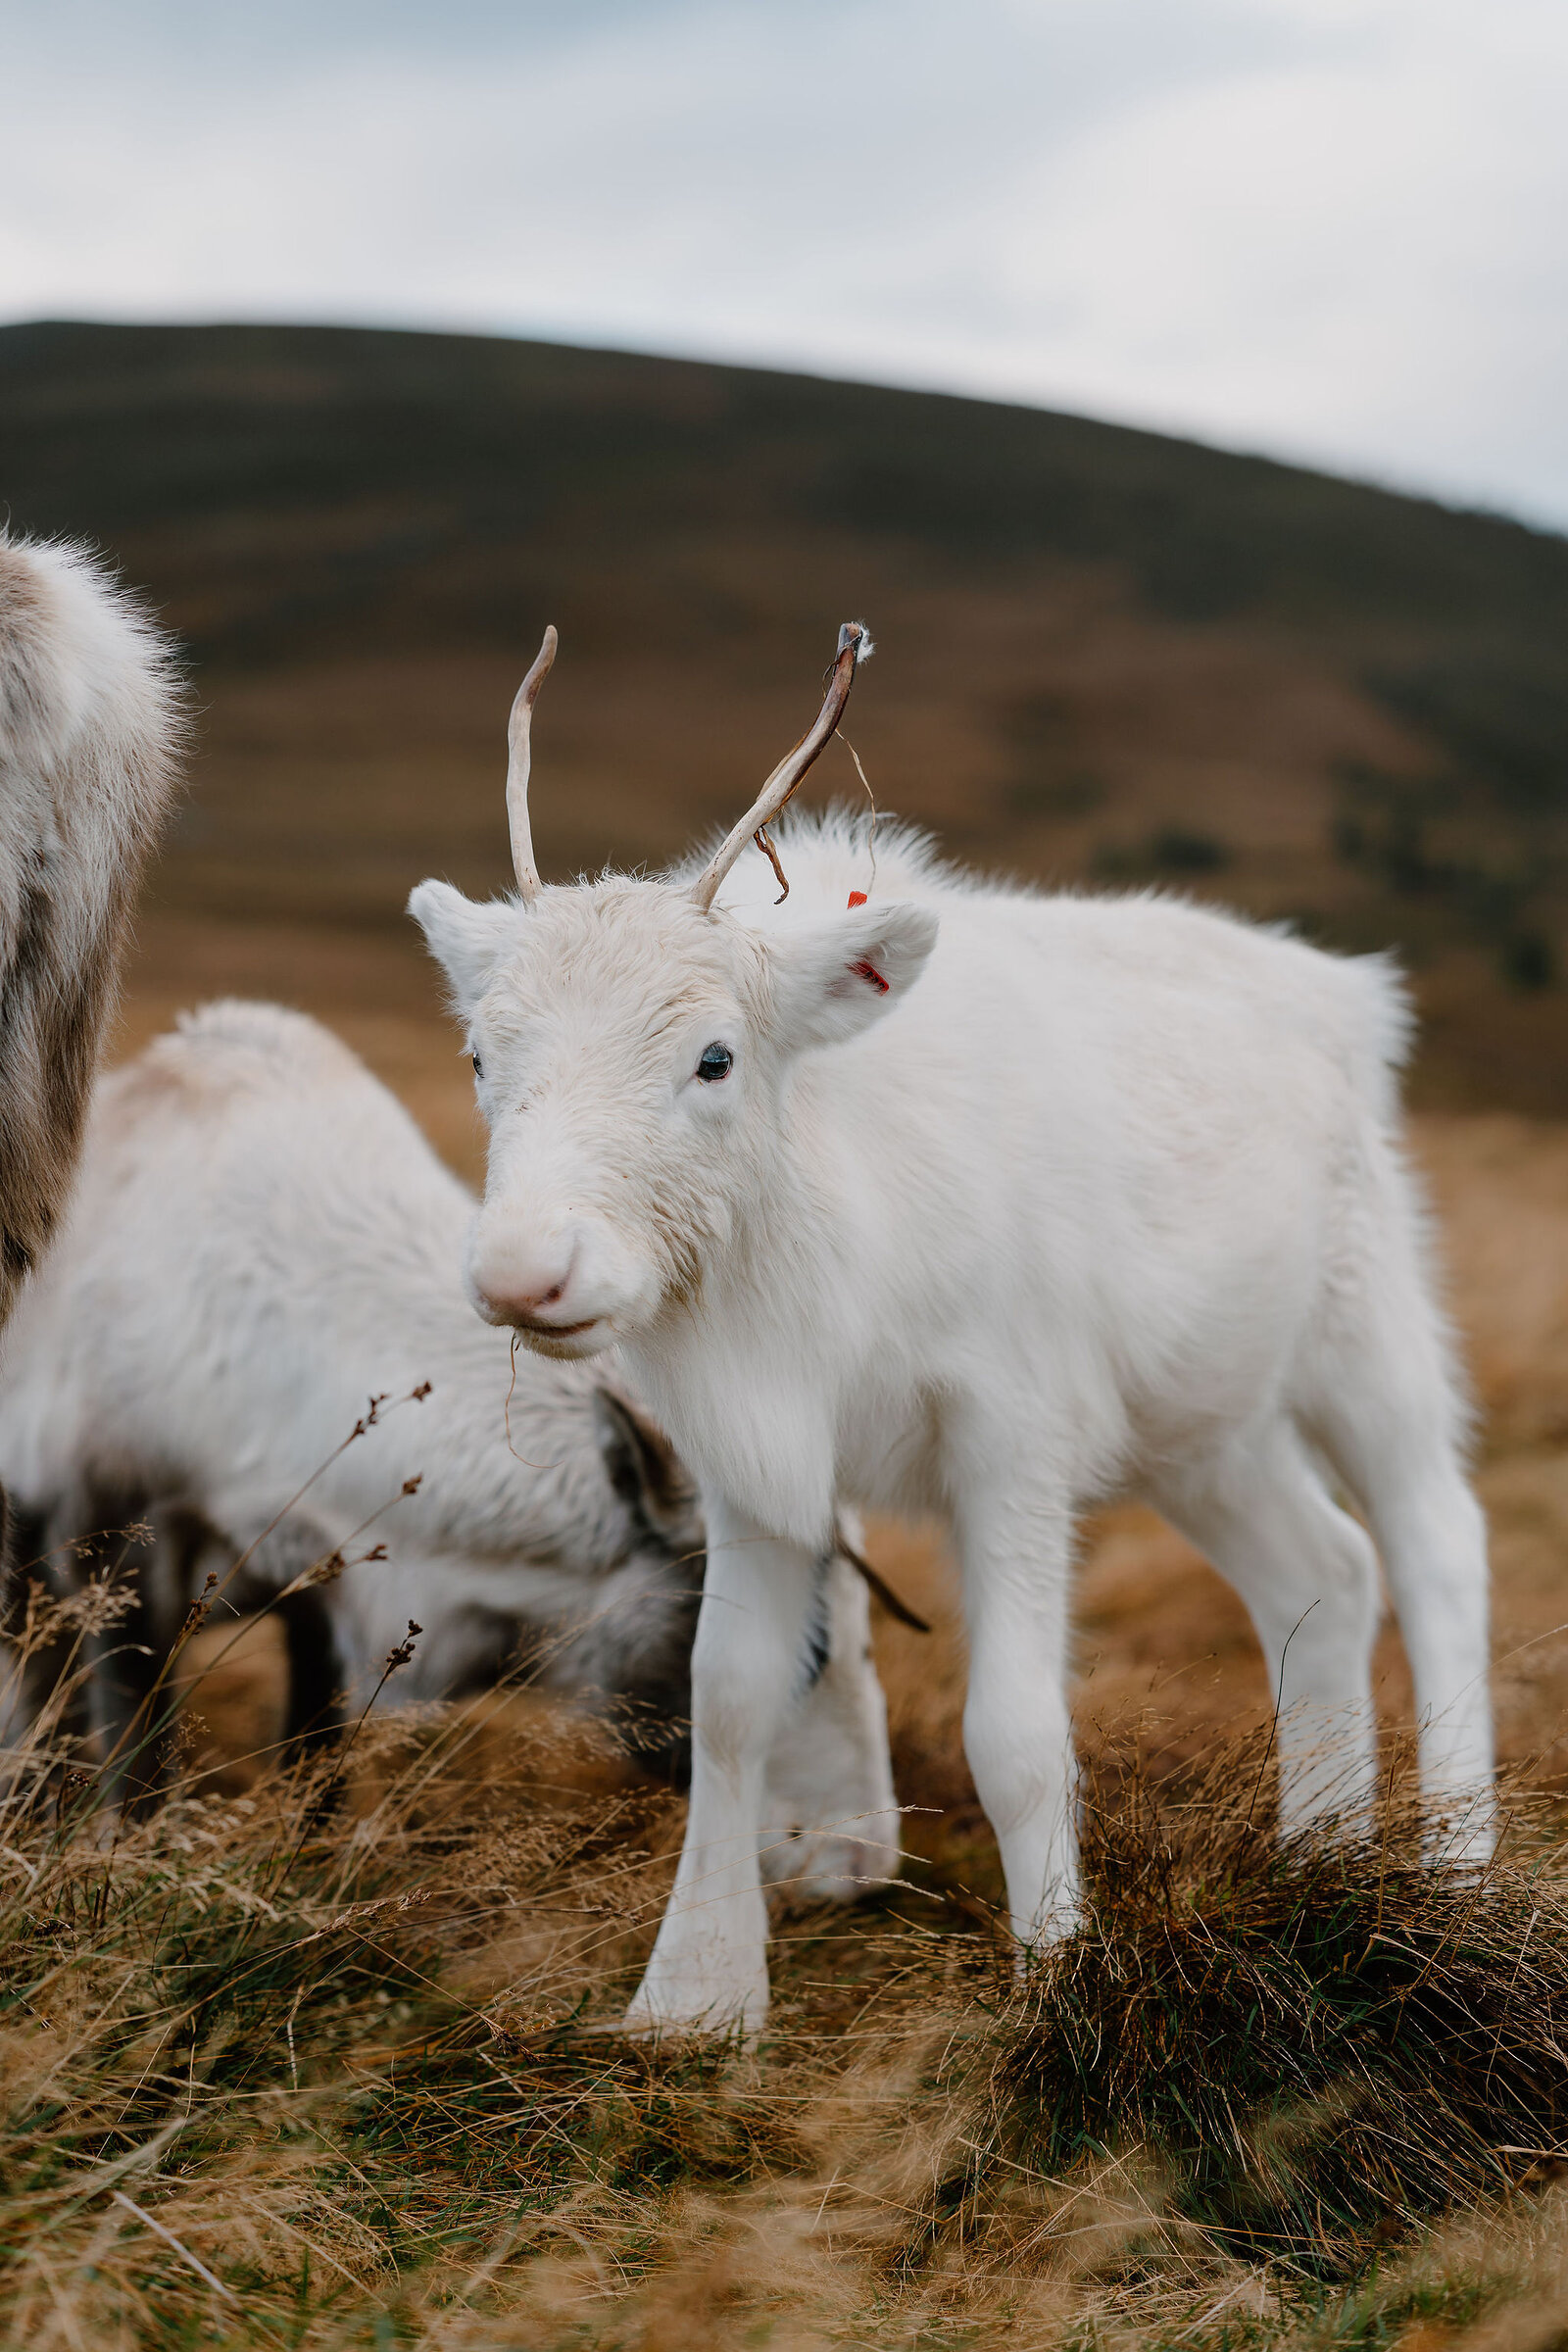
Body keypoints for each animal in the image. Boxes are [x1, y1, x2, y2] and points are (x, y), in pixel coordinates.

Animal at [0, 999, 900, 1899]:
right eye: (804, 1650)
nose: (863, 1863)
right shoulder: (110, 1544)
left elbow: (315, 1763)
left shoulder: (323, 1591)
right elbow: (137, 1764)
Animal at [408, 619, 1495, 2033]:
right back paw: (1324, 1863)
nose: (526, 1272)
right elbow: (731, 1699)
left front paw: (1059, 1979)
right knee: (1324, 1571)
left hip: (1367, 1333)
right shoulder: (758, 1467)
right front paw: (693, 1999)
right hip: (1208, 1426)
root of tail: (1355, 998)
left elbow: (1016, 1734)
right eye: (481, 1055)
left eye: (714, 1056)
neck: (814, 1249)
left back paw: (1458, 1874)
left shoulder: (1010, 1440)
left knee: (1434, 1544)